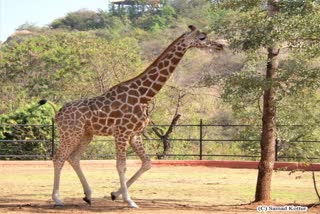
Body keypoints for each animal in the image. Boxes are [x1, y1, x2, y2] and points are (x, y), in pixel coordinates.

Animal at [51, 24, 224, 207]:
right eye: (202, 37)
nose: (220, 45)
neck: (144, 96)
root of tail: (58, 113)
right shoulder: (121, 132)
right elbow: (121, 165)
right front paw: (129, 200)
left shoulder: (135, 134)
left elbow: (147, 162)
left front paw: (115, 194)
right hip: (70, 133)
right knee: (59, 158)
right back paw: (57, 198)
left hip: (86, 134)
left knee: (74, 158)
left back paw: (88, 195)